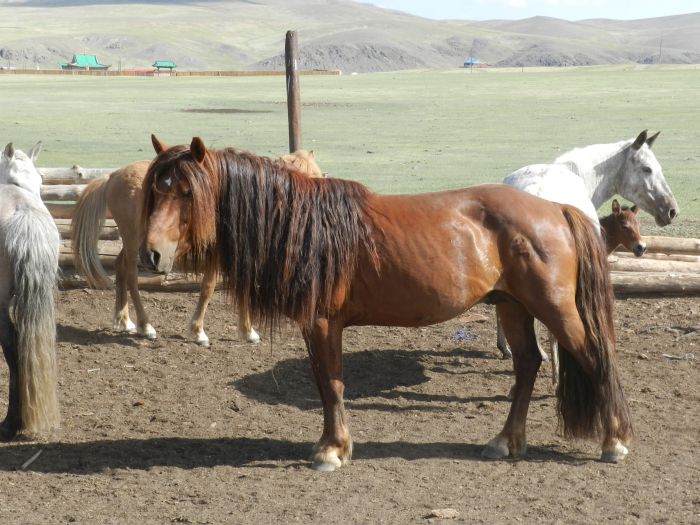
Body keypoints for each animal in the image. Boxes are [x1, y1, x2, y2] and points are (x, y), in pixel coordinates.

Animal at [71, 145, 322, 346]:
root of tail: (112, 176)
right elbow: (208, 287)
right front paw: (198, 331)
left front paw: (247, 331)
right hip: (135, 243)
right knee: (131, 275)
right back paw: (145, 326)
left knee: (120, 266)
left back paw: (124, 320)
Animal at [142, 135, 636, 470]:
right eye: (154, 190)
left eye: (186, 192)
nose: (152, 254)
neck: (305, 226)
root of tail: (556, 210)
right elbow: (327, 384)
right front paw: (334, 445)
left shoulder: (322, 324)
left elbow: (331, 385)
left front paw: (332, 450)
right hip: (512, 305)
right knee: (528, 364)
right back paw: (505, 440)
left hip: (554, 308)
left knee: (596, 355)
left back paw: (613, 441)